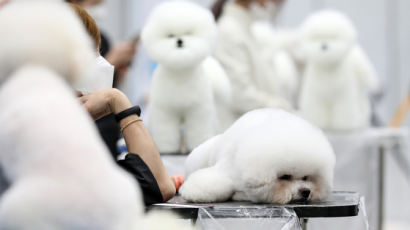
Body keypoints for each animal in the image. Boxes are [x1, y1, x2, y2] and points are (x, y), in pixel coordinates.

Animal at [141, 1, 231, 153]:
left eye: (188, 33)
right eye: (170, 35)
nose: (179, 41)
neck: (180, 74)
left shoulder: (197, 109)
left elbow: (198, 129)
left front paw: (198, 145)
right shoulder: (166, 111)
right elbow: (166, 130)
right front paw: (166, 148)